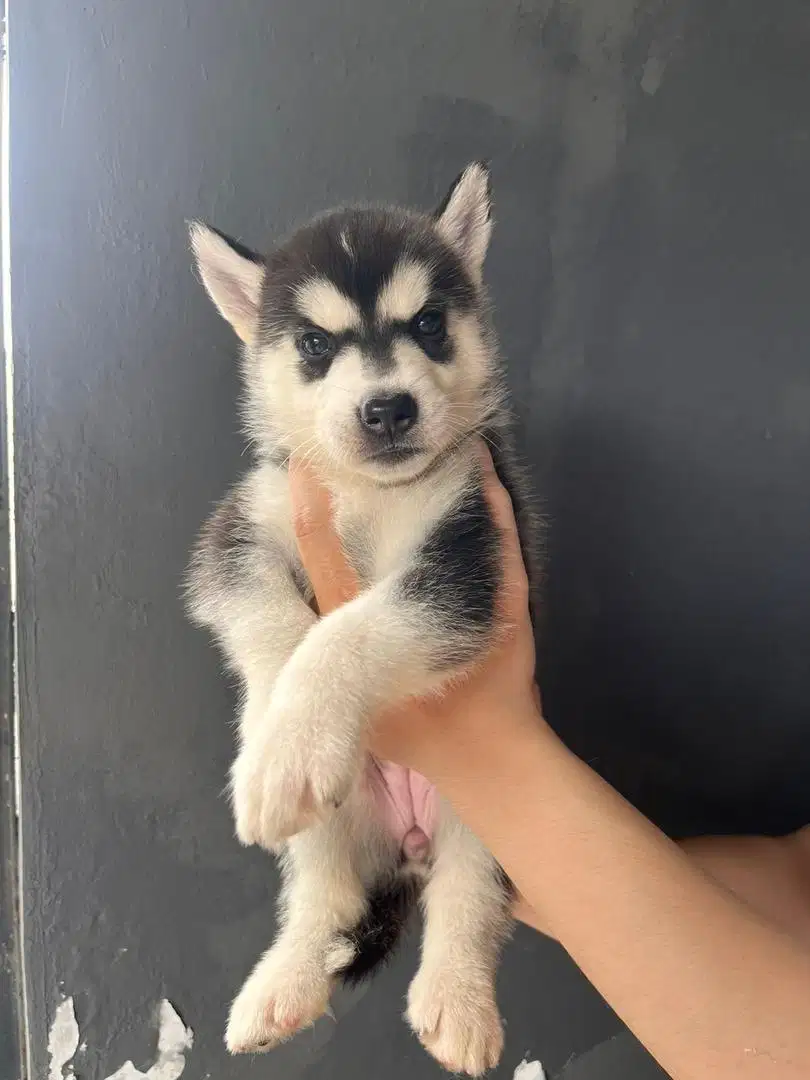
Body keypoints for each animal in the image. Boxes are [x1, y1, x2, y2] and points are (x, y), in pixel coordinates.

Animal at [186, 159, 535, 1071]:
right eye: (315, 345)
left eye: (429, 325)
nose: (388, 408)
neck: (369, 495)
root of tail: (407, 845)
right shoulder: (243, 529)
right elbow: (269, 616)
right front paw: (273, 728)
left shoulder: (467, 561)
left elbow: (352, 629)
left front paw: (292, 735)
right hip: (334, 829)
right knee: (326, 899)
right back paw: (282, 985)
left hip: (491, 817)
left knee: (465, 898)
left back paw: (459, 1004)